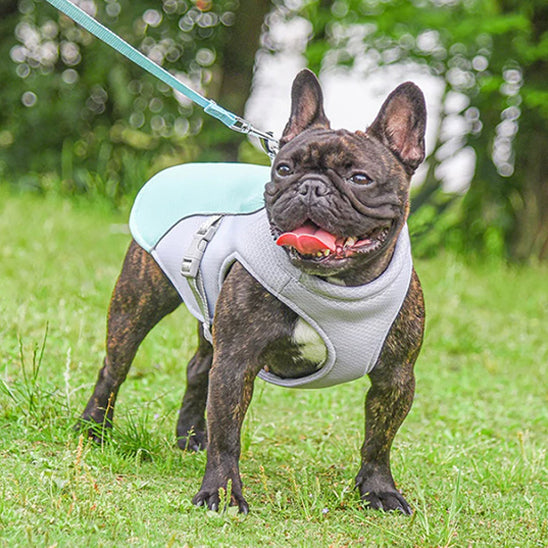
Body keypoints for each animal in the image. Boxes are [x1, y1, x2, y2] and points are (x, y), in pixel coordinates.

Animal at [79, 68, 426, 512]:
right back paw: (94, 428)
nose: (310, 186)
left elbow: (379, 438)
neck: (335, 284)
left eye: (360, 178)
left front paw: (378, 490)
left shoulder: (396, 377)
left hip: (210, 316)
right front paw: (222, 492)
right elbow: (228, 433)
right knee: (115, 367)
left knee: (198, 368)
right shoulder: (237, 361)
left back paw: (191, 435)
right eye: (284, 169)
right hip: (137, 302)